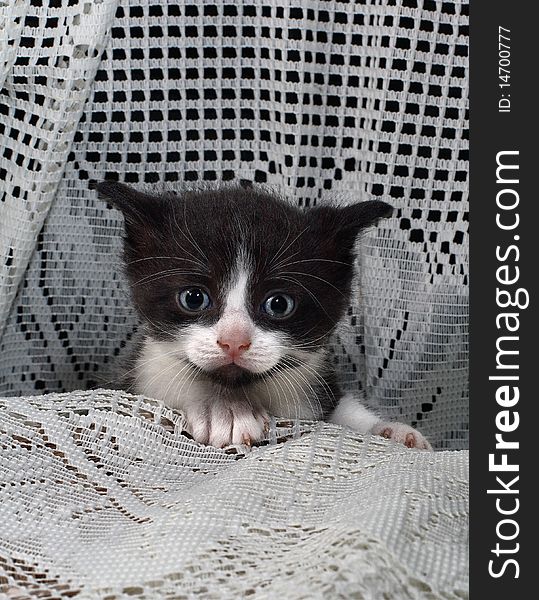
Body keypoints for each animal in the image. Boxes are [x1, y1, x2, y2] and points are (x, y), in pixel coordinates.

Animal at [97, 183, 432, 450]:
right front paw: (223, 410)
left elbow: (339, 408)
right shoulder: (138, 377)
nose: (234, 341)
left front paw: (388, 431)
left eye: (279, 304)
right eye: (194, 298)